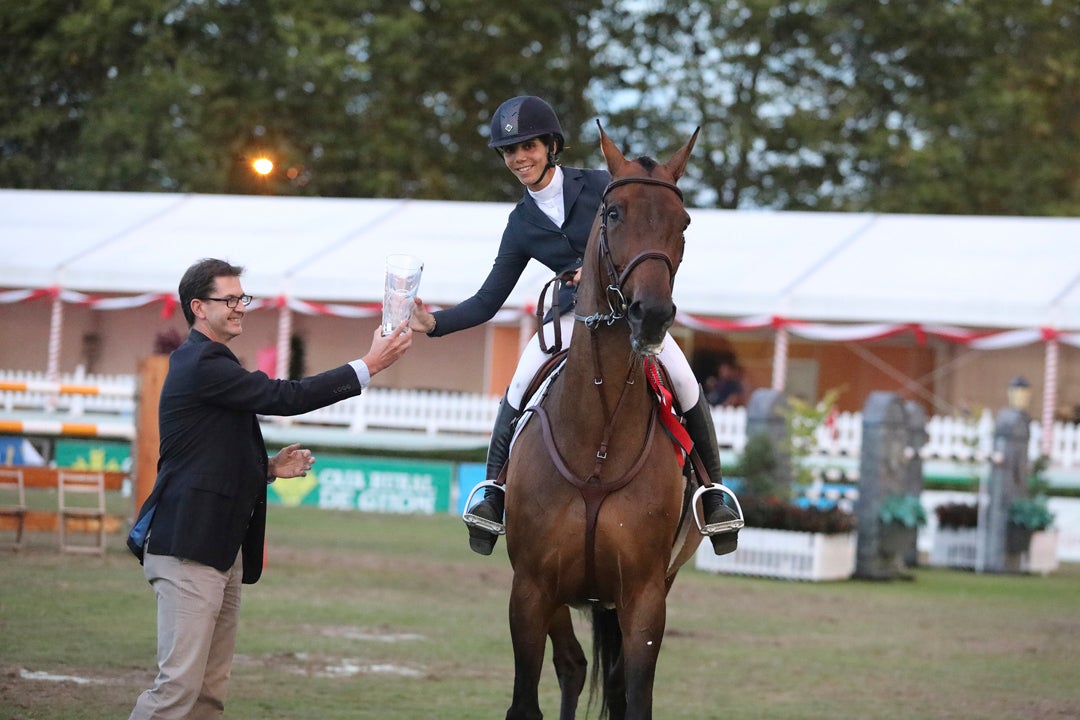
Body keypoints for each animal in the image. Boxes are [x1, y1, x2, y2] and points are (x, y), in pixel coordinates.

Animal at [505, 126, 708, 720]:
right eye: (613, 212)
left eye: (683, 222)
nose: (652, 315)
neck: (596, 441)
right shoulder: (530, 589)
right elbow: (526, 702)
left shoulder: (644, 596)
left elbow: (631, 697)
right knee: (572, 667)